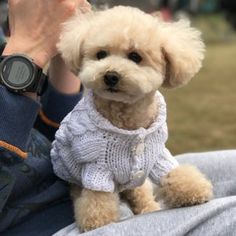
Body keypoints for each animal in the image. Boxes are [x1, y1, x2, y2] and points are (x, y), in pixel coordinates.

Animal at [51, 6, 214, 232]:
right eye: (101, 54)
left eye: (135, 56)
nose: (110, 75)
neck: (127, 121)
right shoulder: (97, 168)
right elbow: (97, 200)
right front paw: (97, 223)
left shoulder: (157, 156)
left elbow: (172, 172)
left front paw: (193, 191)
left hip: (137, 184)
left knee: (142, 196)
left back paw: (150, 208)